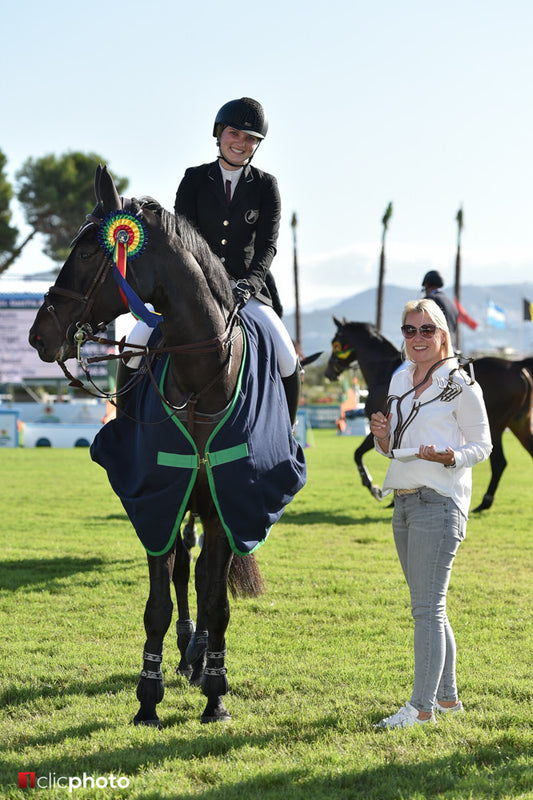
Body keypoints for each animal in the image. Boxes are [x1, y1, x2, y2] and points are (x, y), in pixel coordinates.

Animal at [29, 166, 304, 728]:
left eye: (87, 254)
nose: (39, 335)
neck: (202, 378)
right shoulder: (158, 497)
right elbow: (159, 599)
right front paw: (148, 698)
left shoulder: (227, 503)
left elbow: (217, 600)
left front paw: (216, 695)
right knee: (182, 568)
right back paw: (185, 651)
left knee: (199, 574)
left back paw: (199, 658)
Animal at [322, 316, 532, 510]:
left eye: (335, 342)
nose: (329, 373)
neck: (383, 372)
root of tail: (516, 366)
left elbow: (357, 453)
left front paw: (374, 488)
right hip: (518, 425)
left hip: (494, 428)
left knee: (498, 463)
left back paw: (484, 503)